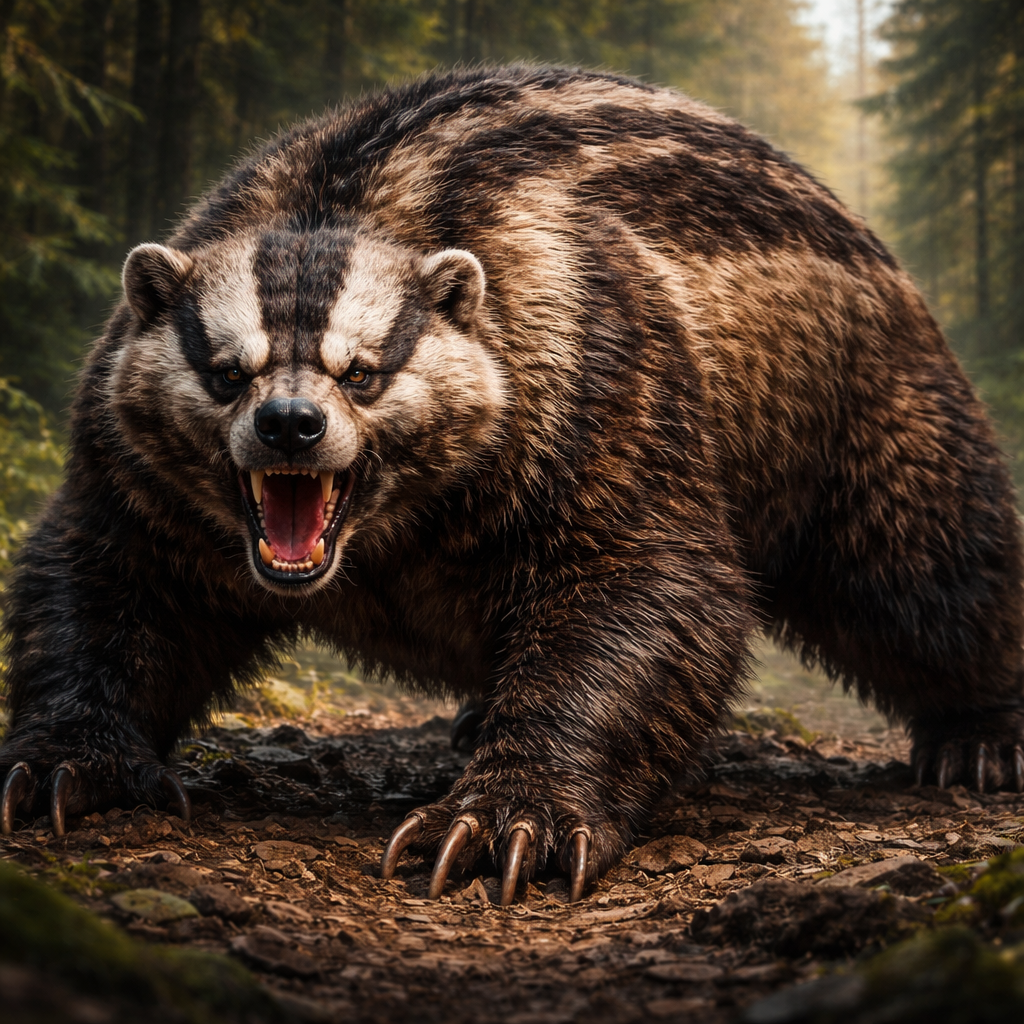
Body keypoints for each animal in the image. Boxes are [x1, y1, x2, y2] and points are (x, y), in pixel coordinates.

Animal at [2, 64, 1023, 906]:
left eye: (362, 372)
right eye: (225, 372)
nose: (289, 423)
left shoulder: (592, 364)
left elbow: (646, 589)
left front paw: (507, 815)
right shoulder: (129, 461)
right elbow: (102, 576)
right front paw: (67, 761)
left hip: (867, 404)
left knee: (929, 567)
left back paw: (982, 730)